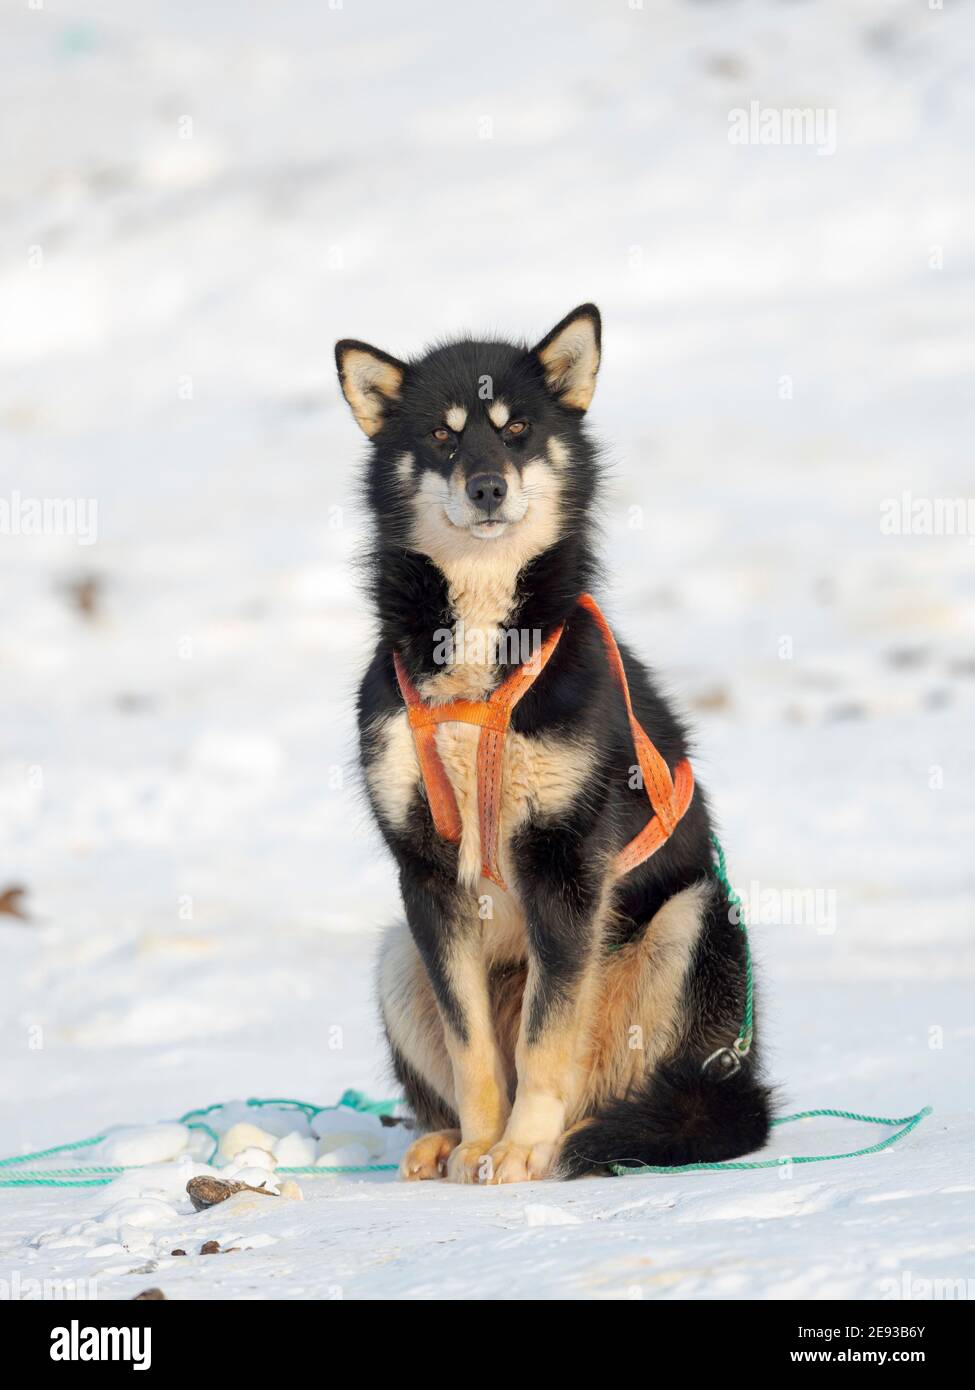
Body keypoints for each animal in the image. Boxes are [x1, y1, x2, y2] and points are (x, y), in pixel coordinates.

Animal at [335, 307, 767, 1184]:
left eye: (516, 430)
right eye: (442, 436)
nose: (487, 487)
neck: (477, 666)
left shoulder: (564, 862)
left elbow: (545, 1036)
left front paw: (522, 1147)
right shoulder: (425, 877)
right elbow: (471, 1047)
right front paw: (480, 1143)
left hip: (690, 923)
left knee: (623, 1088)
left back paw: (593, 1136)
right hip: (397, 953)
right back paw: (441, 1140)